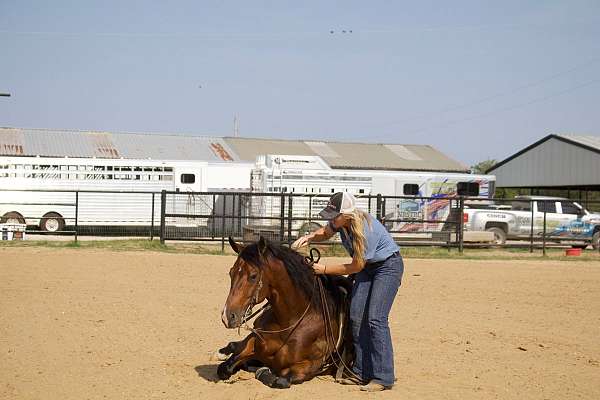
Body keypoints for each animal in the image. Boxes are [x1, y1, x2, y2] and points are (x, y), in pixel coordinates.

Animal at [218, 238, 354, 388]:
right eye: (231, 272)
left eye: (253, 276)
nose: (227, 316)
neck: (289, 321)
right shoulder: (253, 341)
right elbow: (225, 367)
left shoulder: (310, 365)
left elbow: (279, 380)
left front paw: (261, 369)